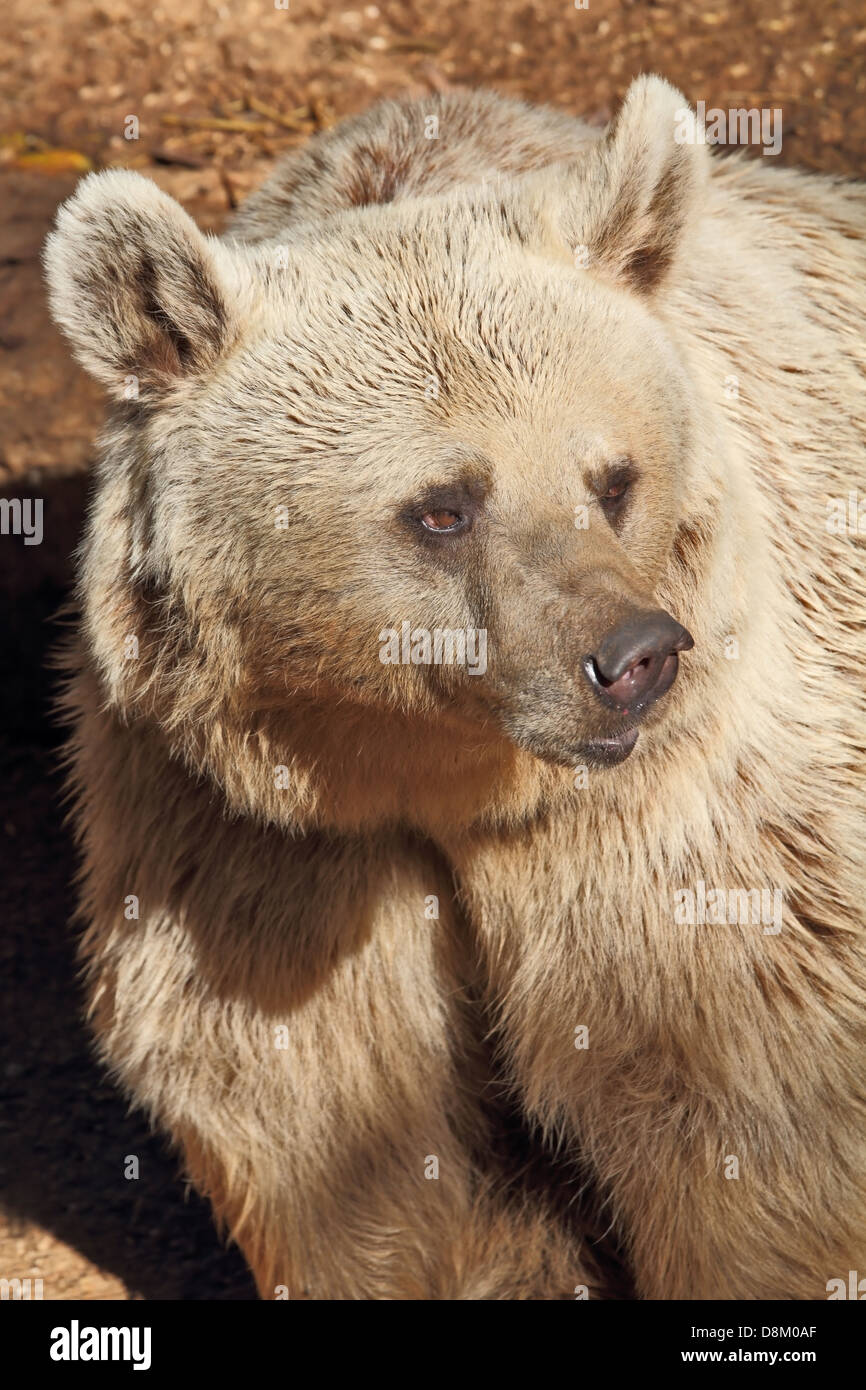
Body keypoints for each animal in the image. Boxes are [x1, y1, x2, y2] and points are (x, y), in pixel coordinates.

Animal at [44, 75, 866, 1299]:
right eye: (444, 507)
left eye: (612, 478)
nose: (633, 657)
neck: (432, 773)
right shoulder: (254, 832)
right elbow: (332, 1119)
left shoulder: (687, 820)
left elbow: (746, 1117)